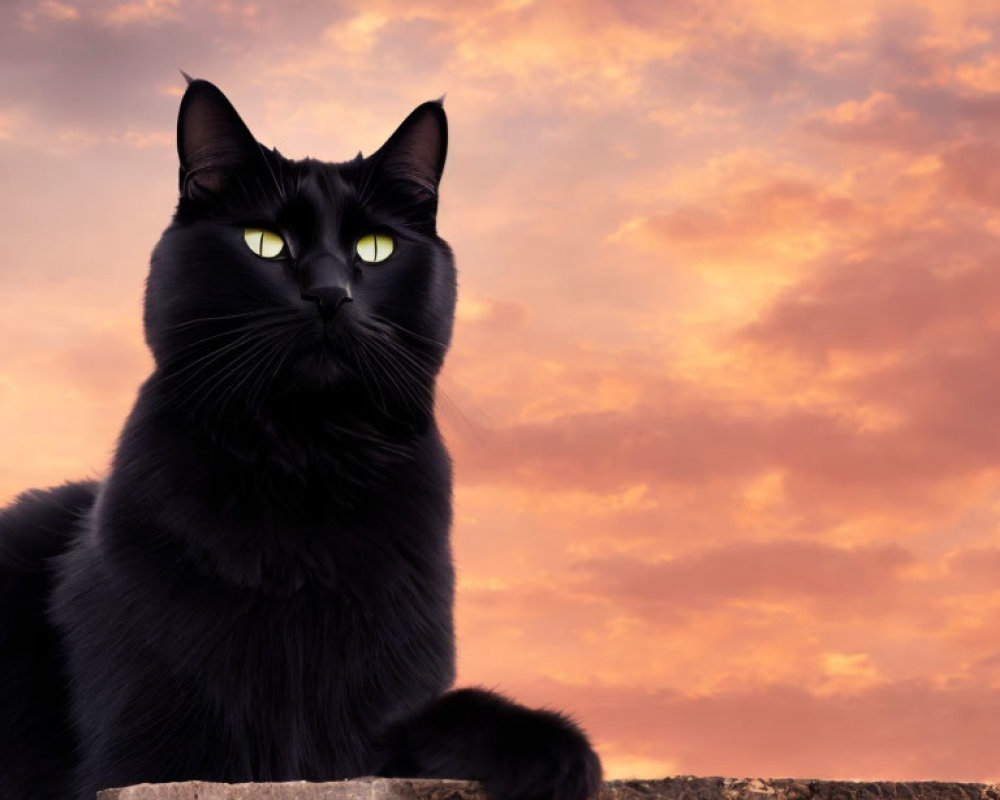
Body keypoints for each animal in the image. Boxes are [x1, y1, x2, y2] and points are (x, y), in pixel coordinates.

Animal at [0, 76, 600, 800]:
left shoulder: (369, 713)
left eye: (375, 248)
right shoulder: (150, 748)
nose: (329, 293)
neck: (305, 465)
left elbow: (435, 718)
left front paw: (554, 751)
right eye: (263, 242)